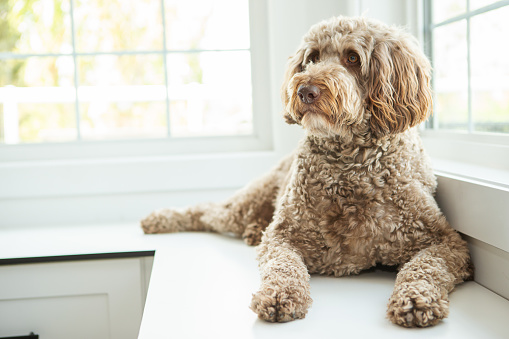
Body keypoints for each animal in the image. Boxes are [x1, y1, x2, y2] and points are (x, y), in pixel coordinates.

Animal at [140, 15, 472, 330]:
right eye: (312, 57)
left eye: (353, 57)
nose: (305, 91)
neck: (348, 165)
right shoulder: (282, 236)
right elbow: (284, 266)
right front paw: (279, 294)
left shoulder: (445, 241)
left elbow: (425, 268)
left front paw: (416, 299)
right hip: (243, 206)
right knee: (206, 211)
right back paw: (159, 218)